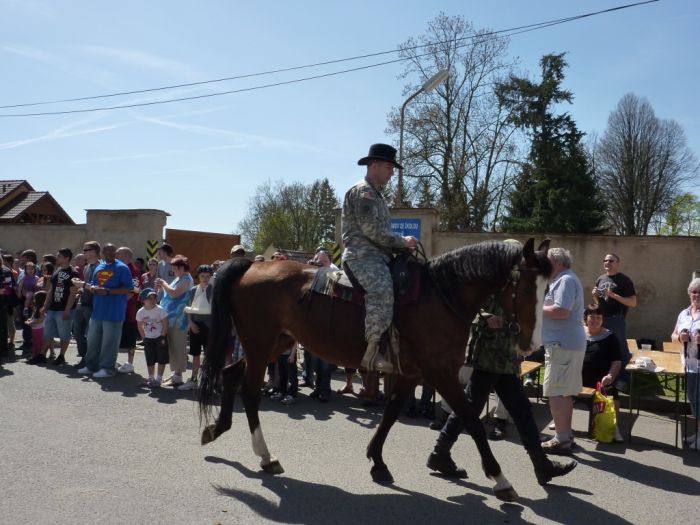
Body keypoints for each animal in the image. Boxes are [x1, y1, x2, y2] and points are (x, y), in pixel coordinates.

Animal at [197, 237, 552, 500]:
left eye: (548, 288)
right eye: (526, 288)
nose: (532, 343)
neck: (441, 297)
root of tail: (251, 266)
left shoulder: (412, 374)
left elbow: (392, 413)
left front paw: (378, 462)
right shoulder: (440, 373)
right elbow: (471, 422)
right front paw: (500, 479)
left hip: (275, 344)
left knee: (230, 375)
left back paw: (216, 428)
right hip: (260, 346)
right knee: (249, 393)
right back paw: (265, 456)